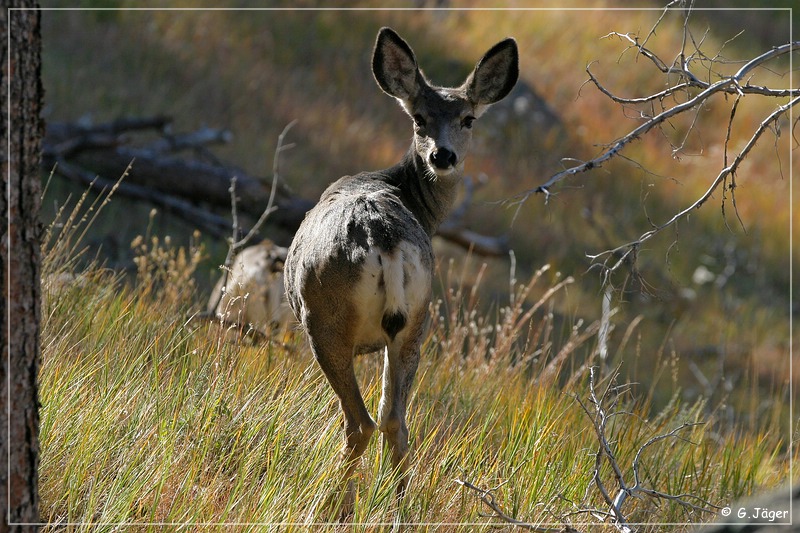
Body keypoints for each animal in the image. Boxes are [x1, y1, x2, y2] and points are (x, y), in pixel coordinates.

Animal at [284, 27, 516, 512]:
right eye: (419, 118)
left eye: (469, 119)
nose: (442, 156)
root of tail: (386, 239)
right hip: (418, 321)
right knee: (395, 419)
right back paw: (400, 506)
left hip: (325, 320)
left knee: (360, 422)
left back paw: (333, 504)